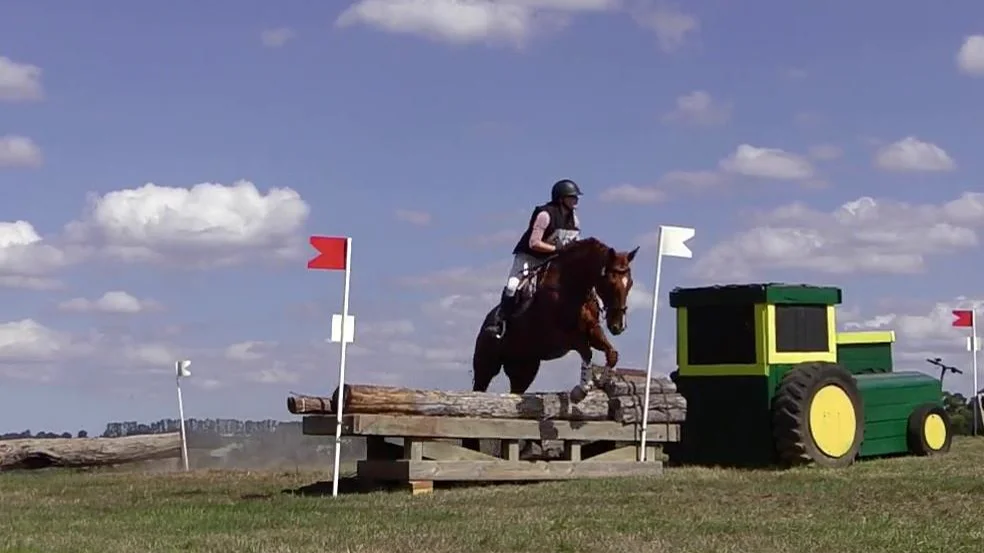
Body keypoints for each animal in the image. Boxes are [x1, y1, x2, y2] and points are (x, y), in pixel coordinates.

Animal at [472, 237, 640, 396]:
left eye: (630, 283)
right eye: (611, 282)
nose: (618, 326)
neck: (572, 287)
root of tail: (486, 321)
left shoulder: (592, 331)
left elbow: (612, 354)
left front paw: (602, 382)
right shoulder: (560, 337)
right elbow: (587, 351)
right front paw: (581, 390)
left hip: (524, 368)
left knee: (516, 387)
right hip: (486, 365)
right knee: (480, 384)